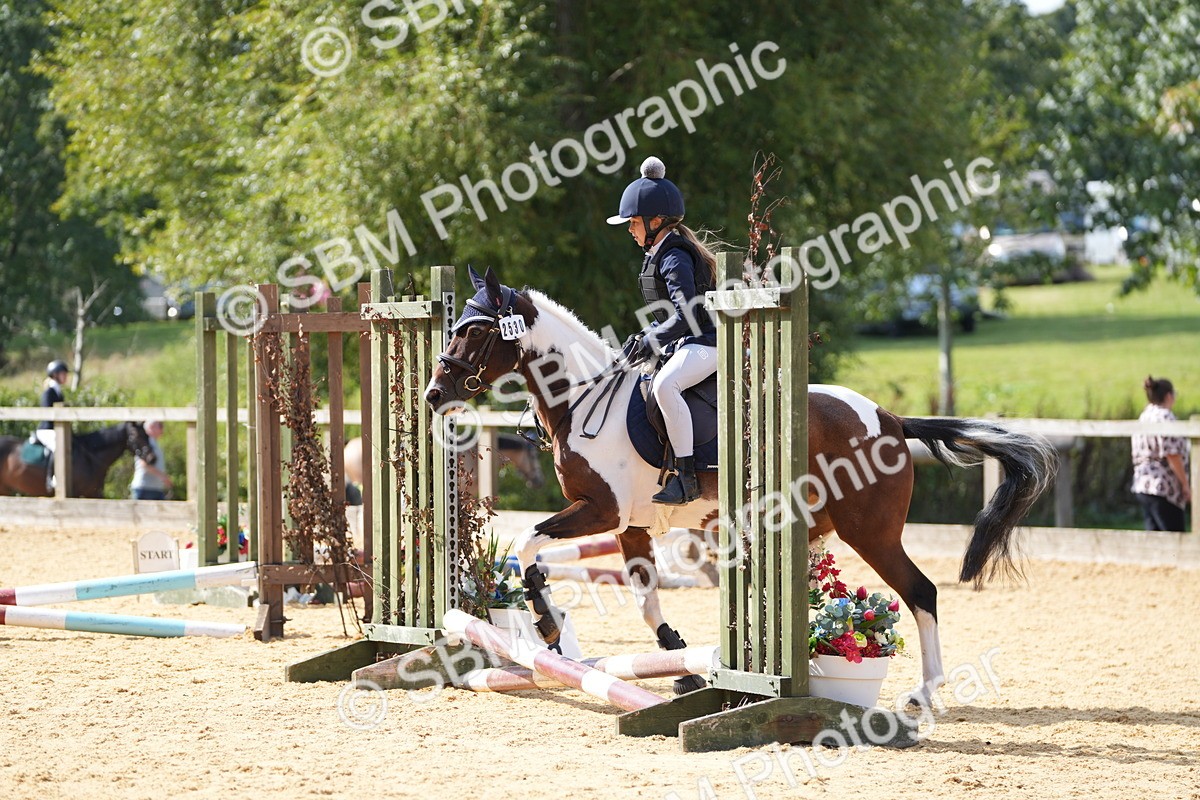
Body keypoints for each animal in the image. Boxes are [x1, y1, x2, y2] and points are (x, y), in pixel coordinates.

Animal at [0, 422, 156, 498]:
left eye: (147, 434)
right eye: (134, 434)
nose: (152, 458)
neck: (90, 458)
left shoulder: (94, 493)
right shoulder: (75, 493)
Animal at [424, 267, 1056, 704]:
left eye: (475, 333)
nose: (433, 395)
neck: (583, 397)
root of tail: (889, 418)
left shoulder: (600, 511)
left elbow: (529, 546)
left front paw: (549, 626)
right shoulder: (631, 526)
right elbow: (646, 600)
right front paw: (678, 660)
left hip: (869, 531)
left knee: (921, 592)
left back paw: (925, 693)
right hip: (815, 526)